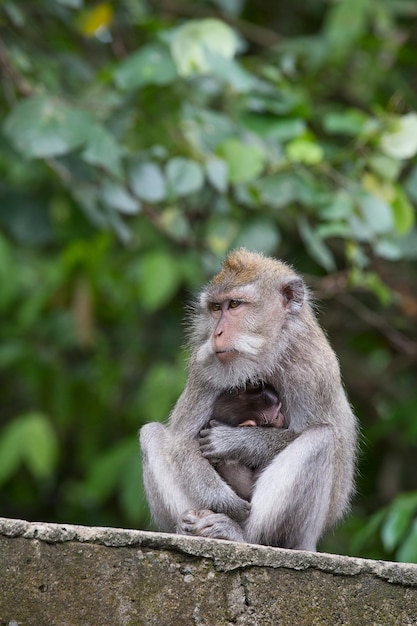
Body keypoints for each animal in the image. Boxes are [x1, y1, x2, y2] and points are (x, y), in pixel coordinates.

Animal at [139, 246, 354, 548]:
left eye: (235, 305)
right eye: (216, 308)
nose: (217, 333)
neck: (267, 353)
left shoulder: (312, 369)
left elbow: (320, 437)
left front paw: (234, 441)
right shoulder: (202, 368)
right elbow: (181, 442)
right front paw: (224, 500)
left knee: (322, 438)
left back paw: (243, 536)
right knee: (152, 434)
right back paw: (185, 526)